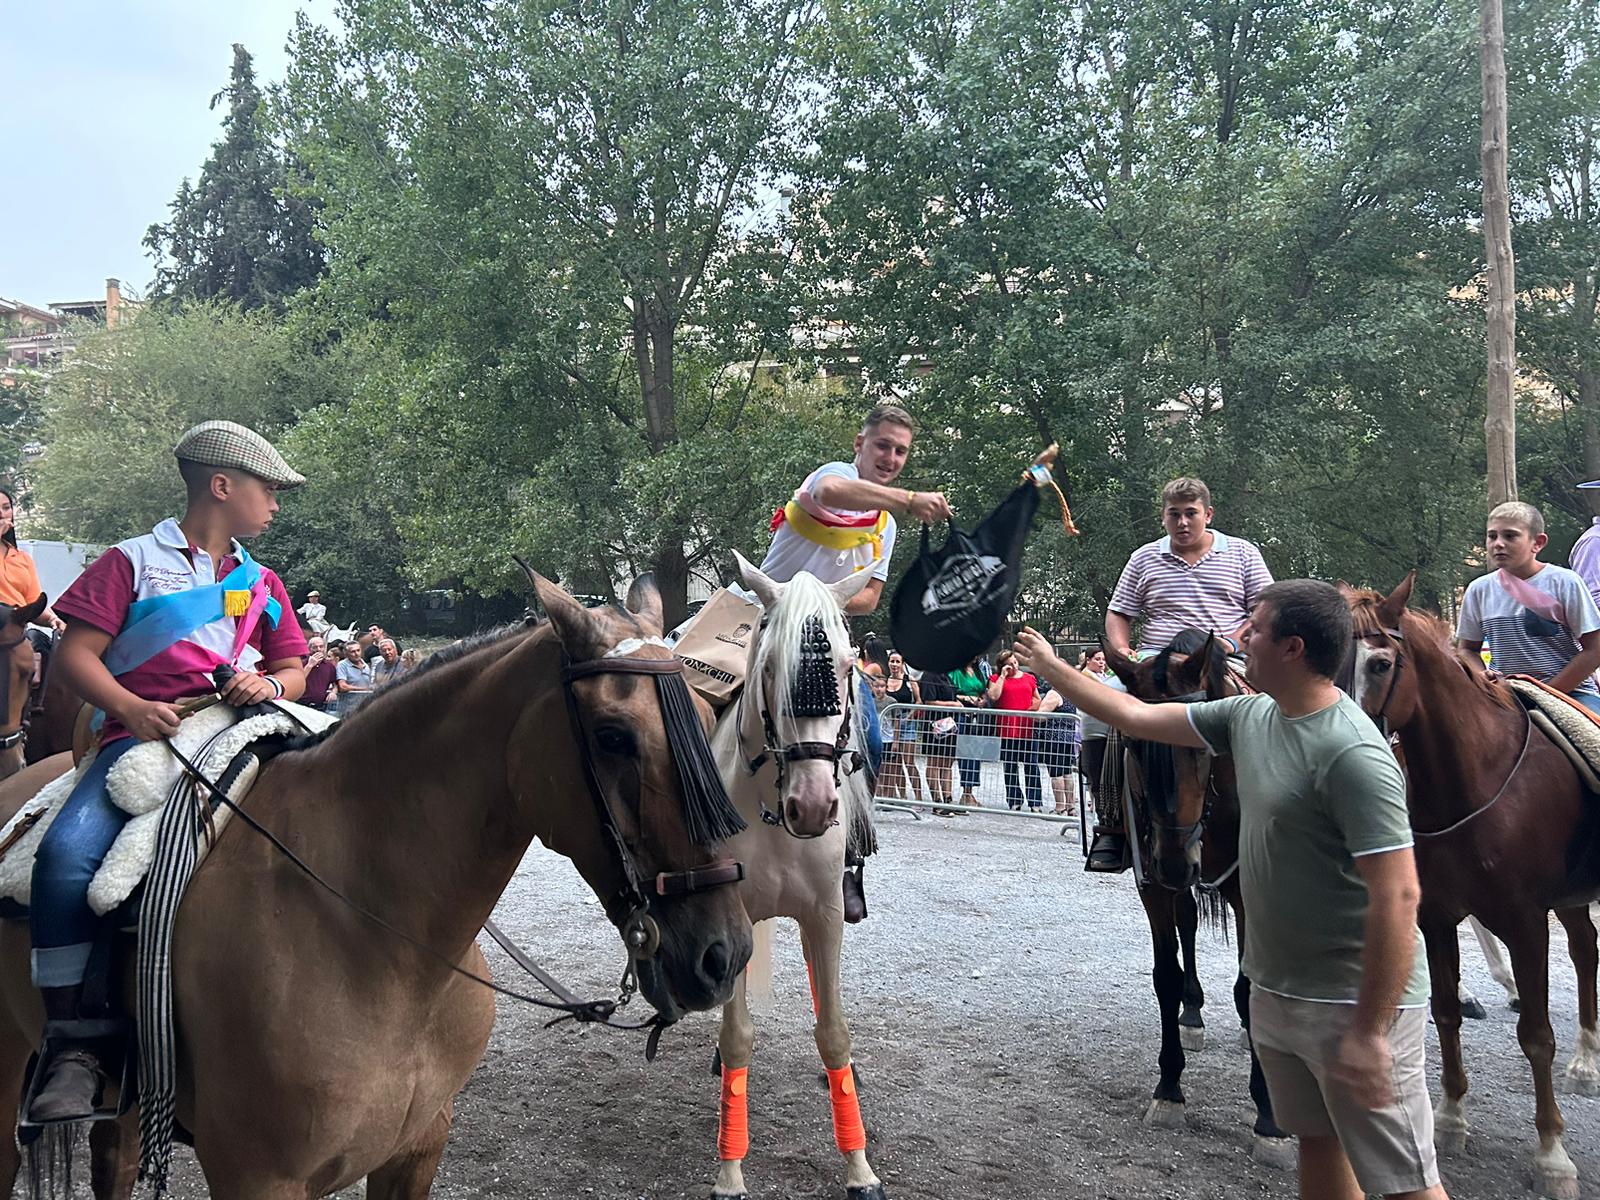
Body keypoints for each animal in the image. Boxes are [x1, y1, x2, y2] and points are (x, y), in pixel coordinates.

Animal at [0, 576, 755, 1200]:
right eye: (613, 736)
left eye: (707, 717)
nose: (725, 955)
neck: (378, 944)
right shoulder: (257, 1177)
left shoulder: (415, 1151)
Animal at [1107, 633, 1292, 1171]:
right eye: (1135, 744)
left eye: (1200, 746)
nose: (1175, 861)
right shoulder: (1152, 882)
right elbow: (1165, 975)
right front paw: (1169, 1087)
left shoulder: (1247, 888)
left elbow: (1250, 990)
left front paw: (1268, 1117)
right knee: (1187, 924)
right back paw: (1192, 1013)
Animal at [1350, 579, 1600, 1196]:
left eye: (1381, 663)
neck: (1474, 781)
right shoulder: (1436, 918)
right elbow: (1445, 1013)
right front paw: (1450, 1118)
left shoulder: (1526, 923)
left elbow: (1536, 1035)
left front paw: (1552, 1154)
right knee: (1586, 948)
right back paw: (1586, 1060)